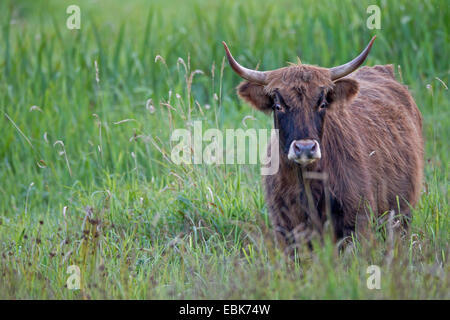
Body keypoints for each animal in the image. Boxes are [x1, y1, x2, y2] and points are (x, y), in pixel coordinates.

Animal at [223, 37, 424, 252]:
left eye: (322, 104)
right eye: (278, 106)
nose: (304, 148)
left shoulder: (357, 221)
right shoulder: (285, 227)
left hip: (401, 213)